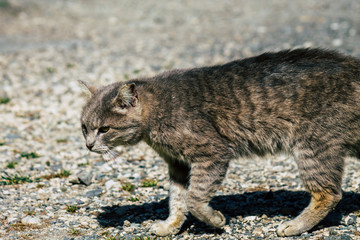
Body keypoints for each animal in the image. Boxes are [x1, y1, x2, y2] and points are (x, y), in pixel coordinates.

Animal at [79, 48, 360, 236]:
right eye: (84, 128)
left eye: (104, 129)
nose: (89, 145)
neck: (157, 112)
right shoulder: (178, 164)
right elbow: (178, 199)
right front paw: (172, 225)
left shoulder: (213, 152)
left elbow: (194, 198)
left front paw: (214, 220)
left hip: (313, 146)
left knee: (329, 193)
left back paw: (294, 226)